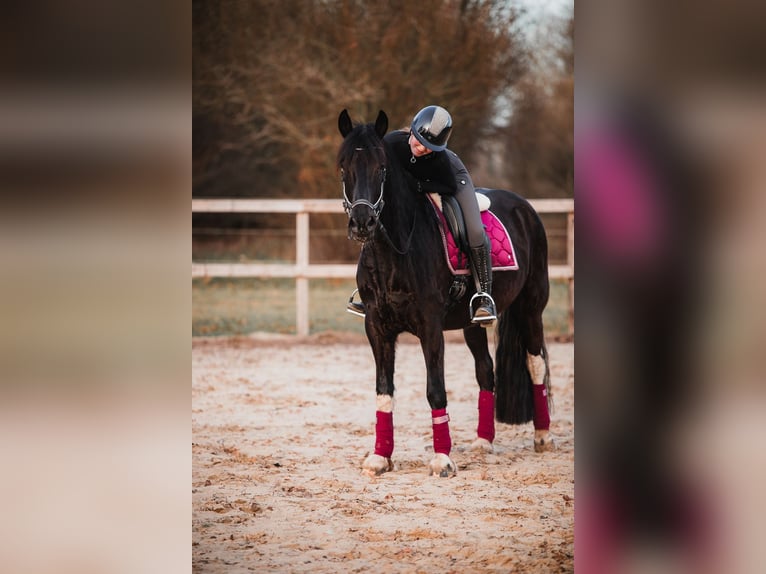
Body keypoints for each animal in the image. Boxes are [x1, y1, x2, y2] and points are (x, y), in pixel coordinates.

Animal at [338, 110, 552, 480]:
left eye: (381, 168)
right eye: (344, 167)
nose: (363, 222)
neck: (395, 250)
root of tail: (524, 207)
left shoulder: (430, 327)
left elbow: (435, 390)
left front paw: (442, 459)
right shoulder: (376, 328)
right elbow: (383, 390)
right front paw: (380, 457)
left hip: (531, 308)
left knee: (535, 362)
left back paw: (543, 436)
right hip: (471, 323)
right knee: (486, 371)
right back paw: (483, 441)